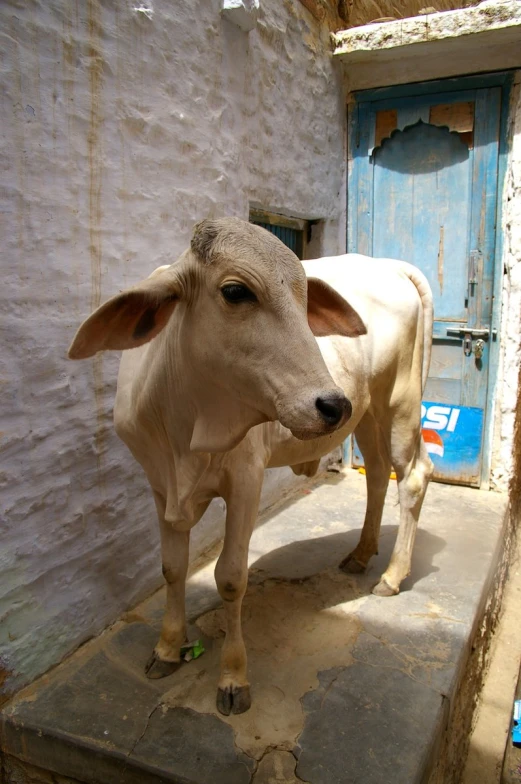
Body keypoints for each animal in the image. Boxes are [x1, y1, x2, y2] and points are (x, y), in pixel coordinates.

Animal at [70, 216, 434, 716]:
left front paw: (233, 677)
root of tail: (392, 265)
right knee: (378, 473)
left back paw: (392, 576)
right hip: (366, 412)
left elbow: (230, 577)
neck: (185, 423)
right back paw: (361, 555)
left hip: (399, 401)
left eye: (305, 295)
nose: (332, 405)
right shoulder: (159, 485)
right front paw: (167, 647)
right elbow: (172, 567)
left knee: (412, 475)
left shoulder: (246, 478)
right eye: (235, 291)